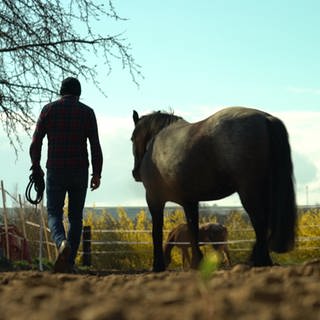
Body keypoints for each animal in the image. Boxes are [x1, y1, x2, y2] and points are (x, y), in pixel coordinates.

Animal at [131, 106, 296, 272]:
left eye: (132, 138)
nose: (135, 173)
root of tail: (266, 118)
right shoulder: (190, 201)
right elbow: (192, 229)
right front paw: (197, 262)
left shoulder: (154, 199)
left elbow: (156, 232)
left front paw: (158, 265)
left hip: (249, 191)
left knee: (259, 220)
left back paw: (260, 260)